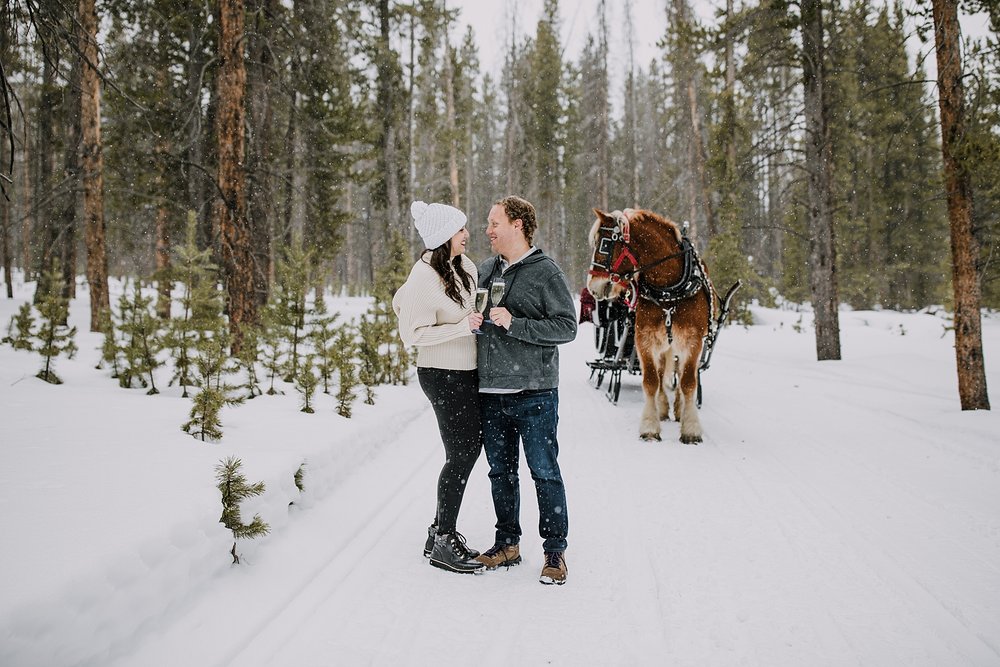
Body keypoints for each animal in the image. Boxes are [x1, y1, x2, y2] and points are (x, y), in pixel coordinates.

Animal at [588, 209, 716, 444]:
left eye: (604, 244)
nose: (593, 287)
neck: (669, 290)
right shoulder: (645, 339)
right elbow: (651, 381)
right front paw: (649, 426)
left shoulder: (692, 341)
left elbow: (688, 382)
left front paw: (691, 428)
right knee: (662, 373)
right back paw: (663, 409)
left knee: (677, 375)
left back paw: (678, 409)